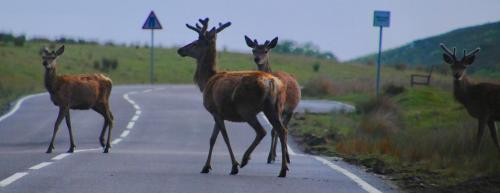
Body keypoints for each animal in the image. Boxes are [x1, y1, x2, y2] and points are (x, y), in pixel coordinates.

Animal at [179, 17, 290, 177]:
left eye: (195, 43)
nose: (180, 50)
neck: (207, 80)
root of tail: (271, 82)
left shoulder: (215, 110)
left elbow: (224, 137)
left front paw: (233, 166)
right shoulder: (218, 113)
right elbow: (212, 139)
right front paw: (206, 166)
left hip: (246, 107)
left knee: (261, 131)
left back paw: (244, 159)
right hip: (274, 107)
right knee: (282, 130)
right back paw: (283, 169)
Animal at [243, 35, 298, 164]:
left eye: (266, 51)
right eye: (253, 50)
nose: (257, 59)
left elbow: (276, 131)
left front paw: (271, 156)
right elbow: (274, 131)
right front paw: (270, 156)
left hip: (290, 110)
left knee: (285, 129)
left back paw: (285, 157)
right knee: (280, 130)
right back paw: (275, 155)